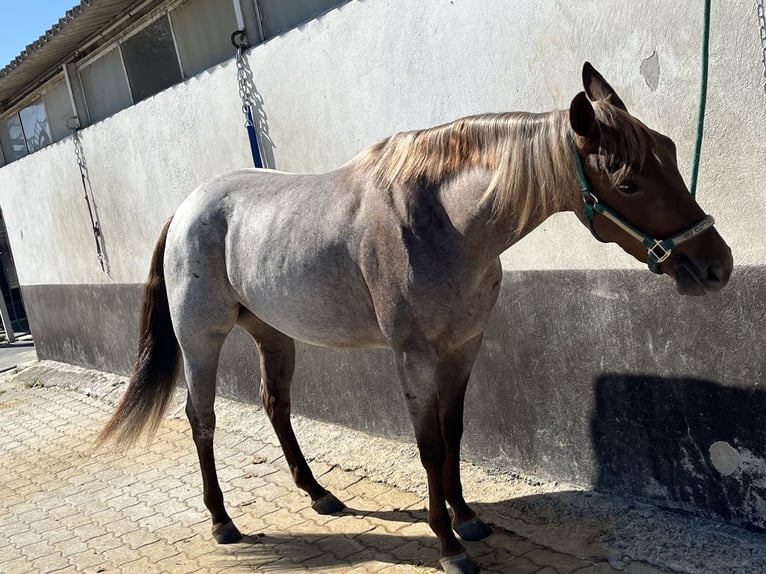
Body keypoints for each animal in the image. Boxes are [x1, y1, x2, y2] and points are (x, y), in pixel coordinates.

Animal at [98, 62, 732, 573]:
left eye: (671, 151)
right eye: (628, 180)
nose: (716, 266)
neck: (441, 222)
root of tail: (186, 208)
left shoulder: (464, 347)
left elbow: (453, 434)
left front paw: (467, 516)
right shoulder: (414, 356)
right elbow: (428, 446)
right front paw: (448, 545)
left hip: (274, 334)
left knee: (275, 405)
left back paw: (320, 495)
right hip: (201, 339)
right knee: (200, 418)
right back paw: (222, 521)